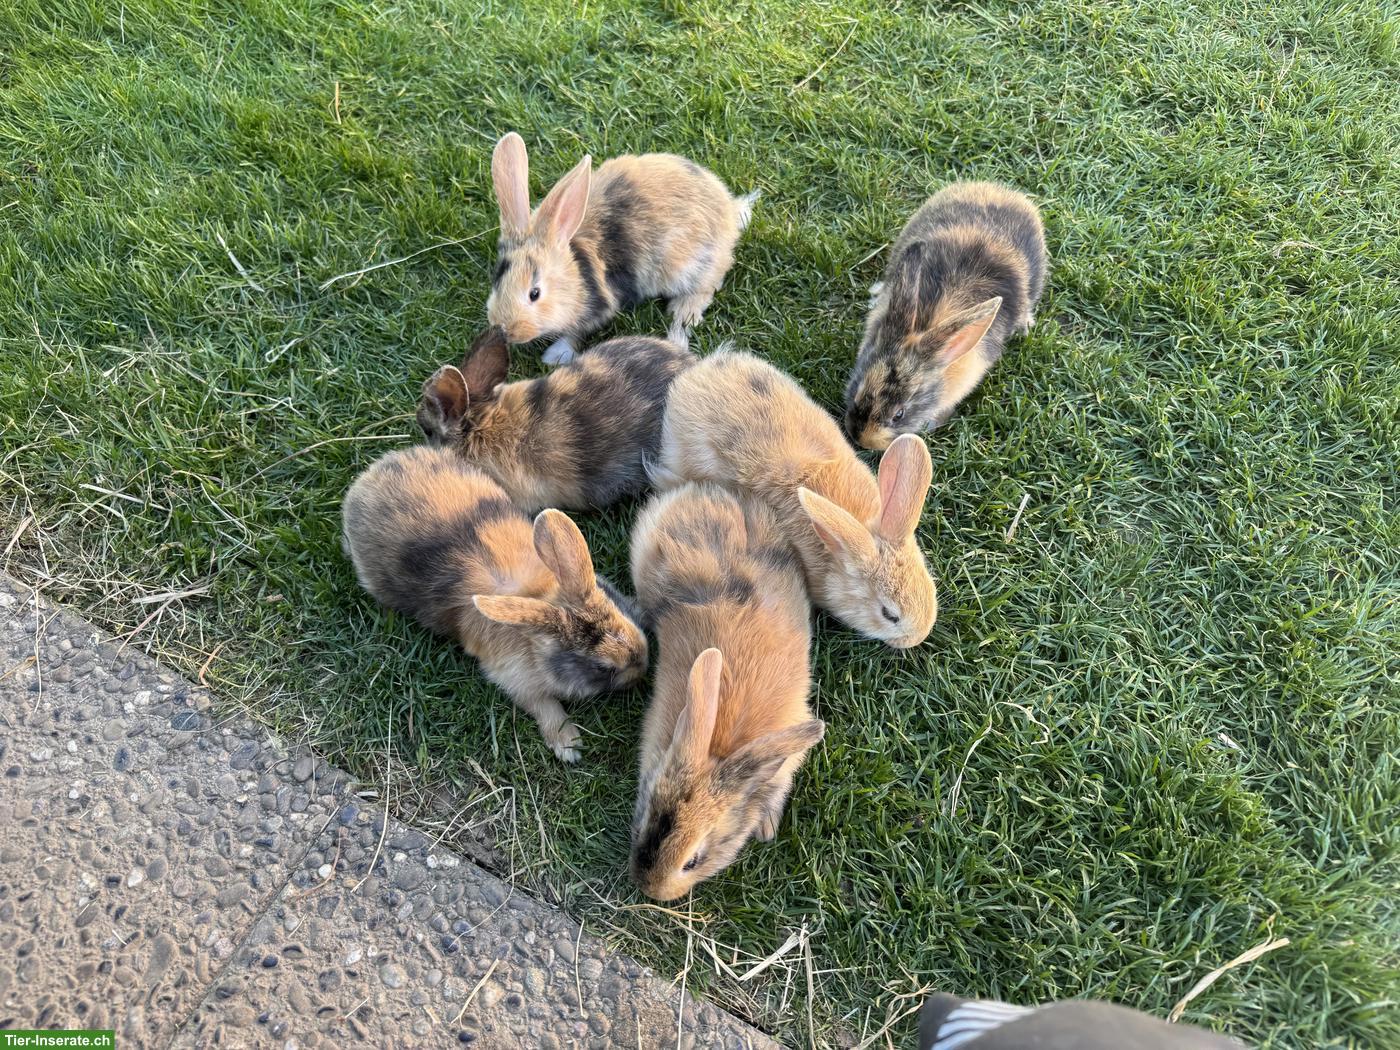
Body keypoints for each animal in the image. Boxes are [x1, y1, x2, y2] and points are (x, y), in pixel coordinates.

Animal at [342, 445, 648, 762]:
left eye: (621, 610)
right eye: (602, 667)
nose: (643, 666)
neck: (538, 595)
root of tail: (368, 478)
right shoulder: (514, 679)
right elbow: (544, 705)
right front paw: (569, 746)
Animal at [485, 131, 757, 364]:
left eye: (535, 293)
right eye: (496, 280)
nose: (506, 330)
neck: (575, 273)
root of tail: (730, 213)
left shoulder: (599, 308)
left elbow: (576, 333)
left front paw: (555, 355)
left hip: (693, 268)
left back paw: (681, 313)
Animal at [629, 482, 823, 901]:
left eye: (692, 862)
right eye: (646, 817)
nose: (651, 890)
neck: (721, 746)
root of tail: (709, 493)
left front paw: (766, 827)